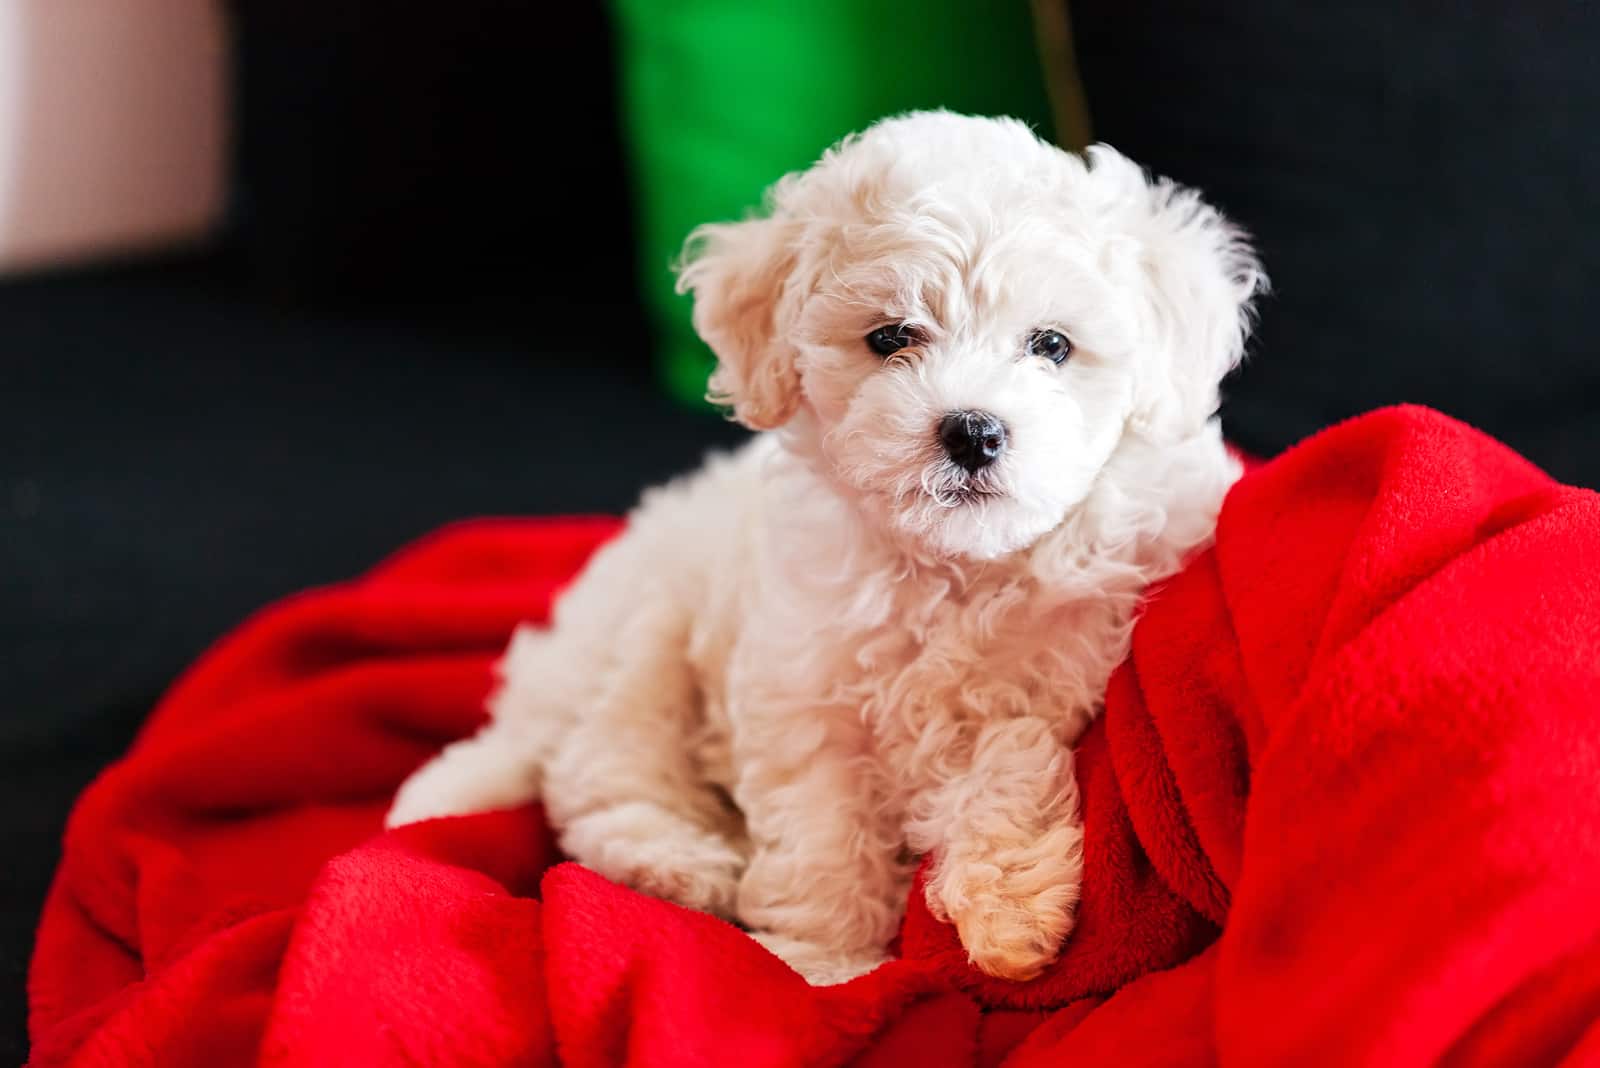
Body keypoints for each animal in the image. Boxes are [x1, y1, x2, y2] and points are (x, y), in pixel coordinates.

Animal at [390, 112, 1260, 991]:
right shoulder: (805, 698)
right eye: (891, 337)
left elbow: (1006, 758)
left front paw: (1009, 912)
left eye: (1052, 345)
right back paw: (680, 864)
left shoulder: (1062, 669)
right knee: (599, 773)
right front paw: (825, 969)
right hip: (642, 642)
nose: (973, 431)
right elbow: (825, 835)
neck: (955, 567)